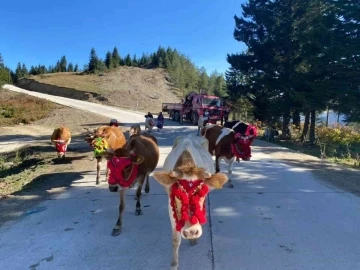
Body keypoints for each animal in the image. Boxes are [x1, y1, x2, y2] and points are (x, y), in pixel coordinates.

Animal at [153, 134, 228, 270]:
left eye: (201, 193)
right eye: (178, 195)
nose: (191, 232)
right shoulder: (170, 204)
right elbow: (175, 239)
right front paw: (174, 264)